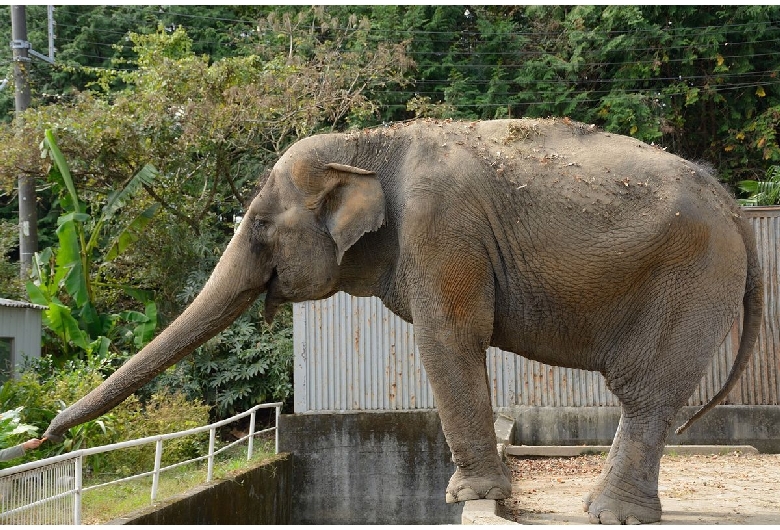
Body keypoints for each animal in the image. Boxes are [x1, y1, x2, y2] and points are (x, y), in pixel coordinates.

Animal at [44, 117, 760, 520]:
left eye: (258, 226)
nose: (37, 439)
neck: (370, 142)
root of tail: (734, 206)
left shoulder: (441, 227)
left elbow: (448, 338)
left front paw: (463, 497)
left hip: (691, 277)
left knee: (646, 395)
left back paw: (610, 514)